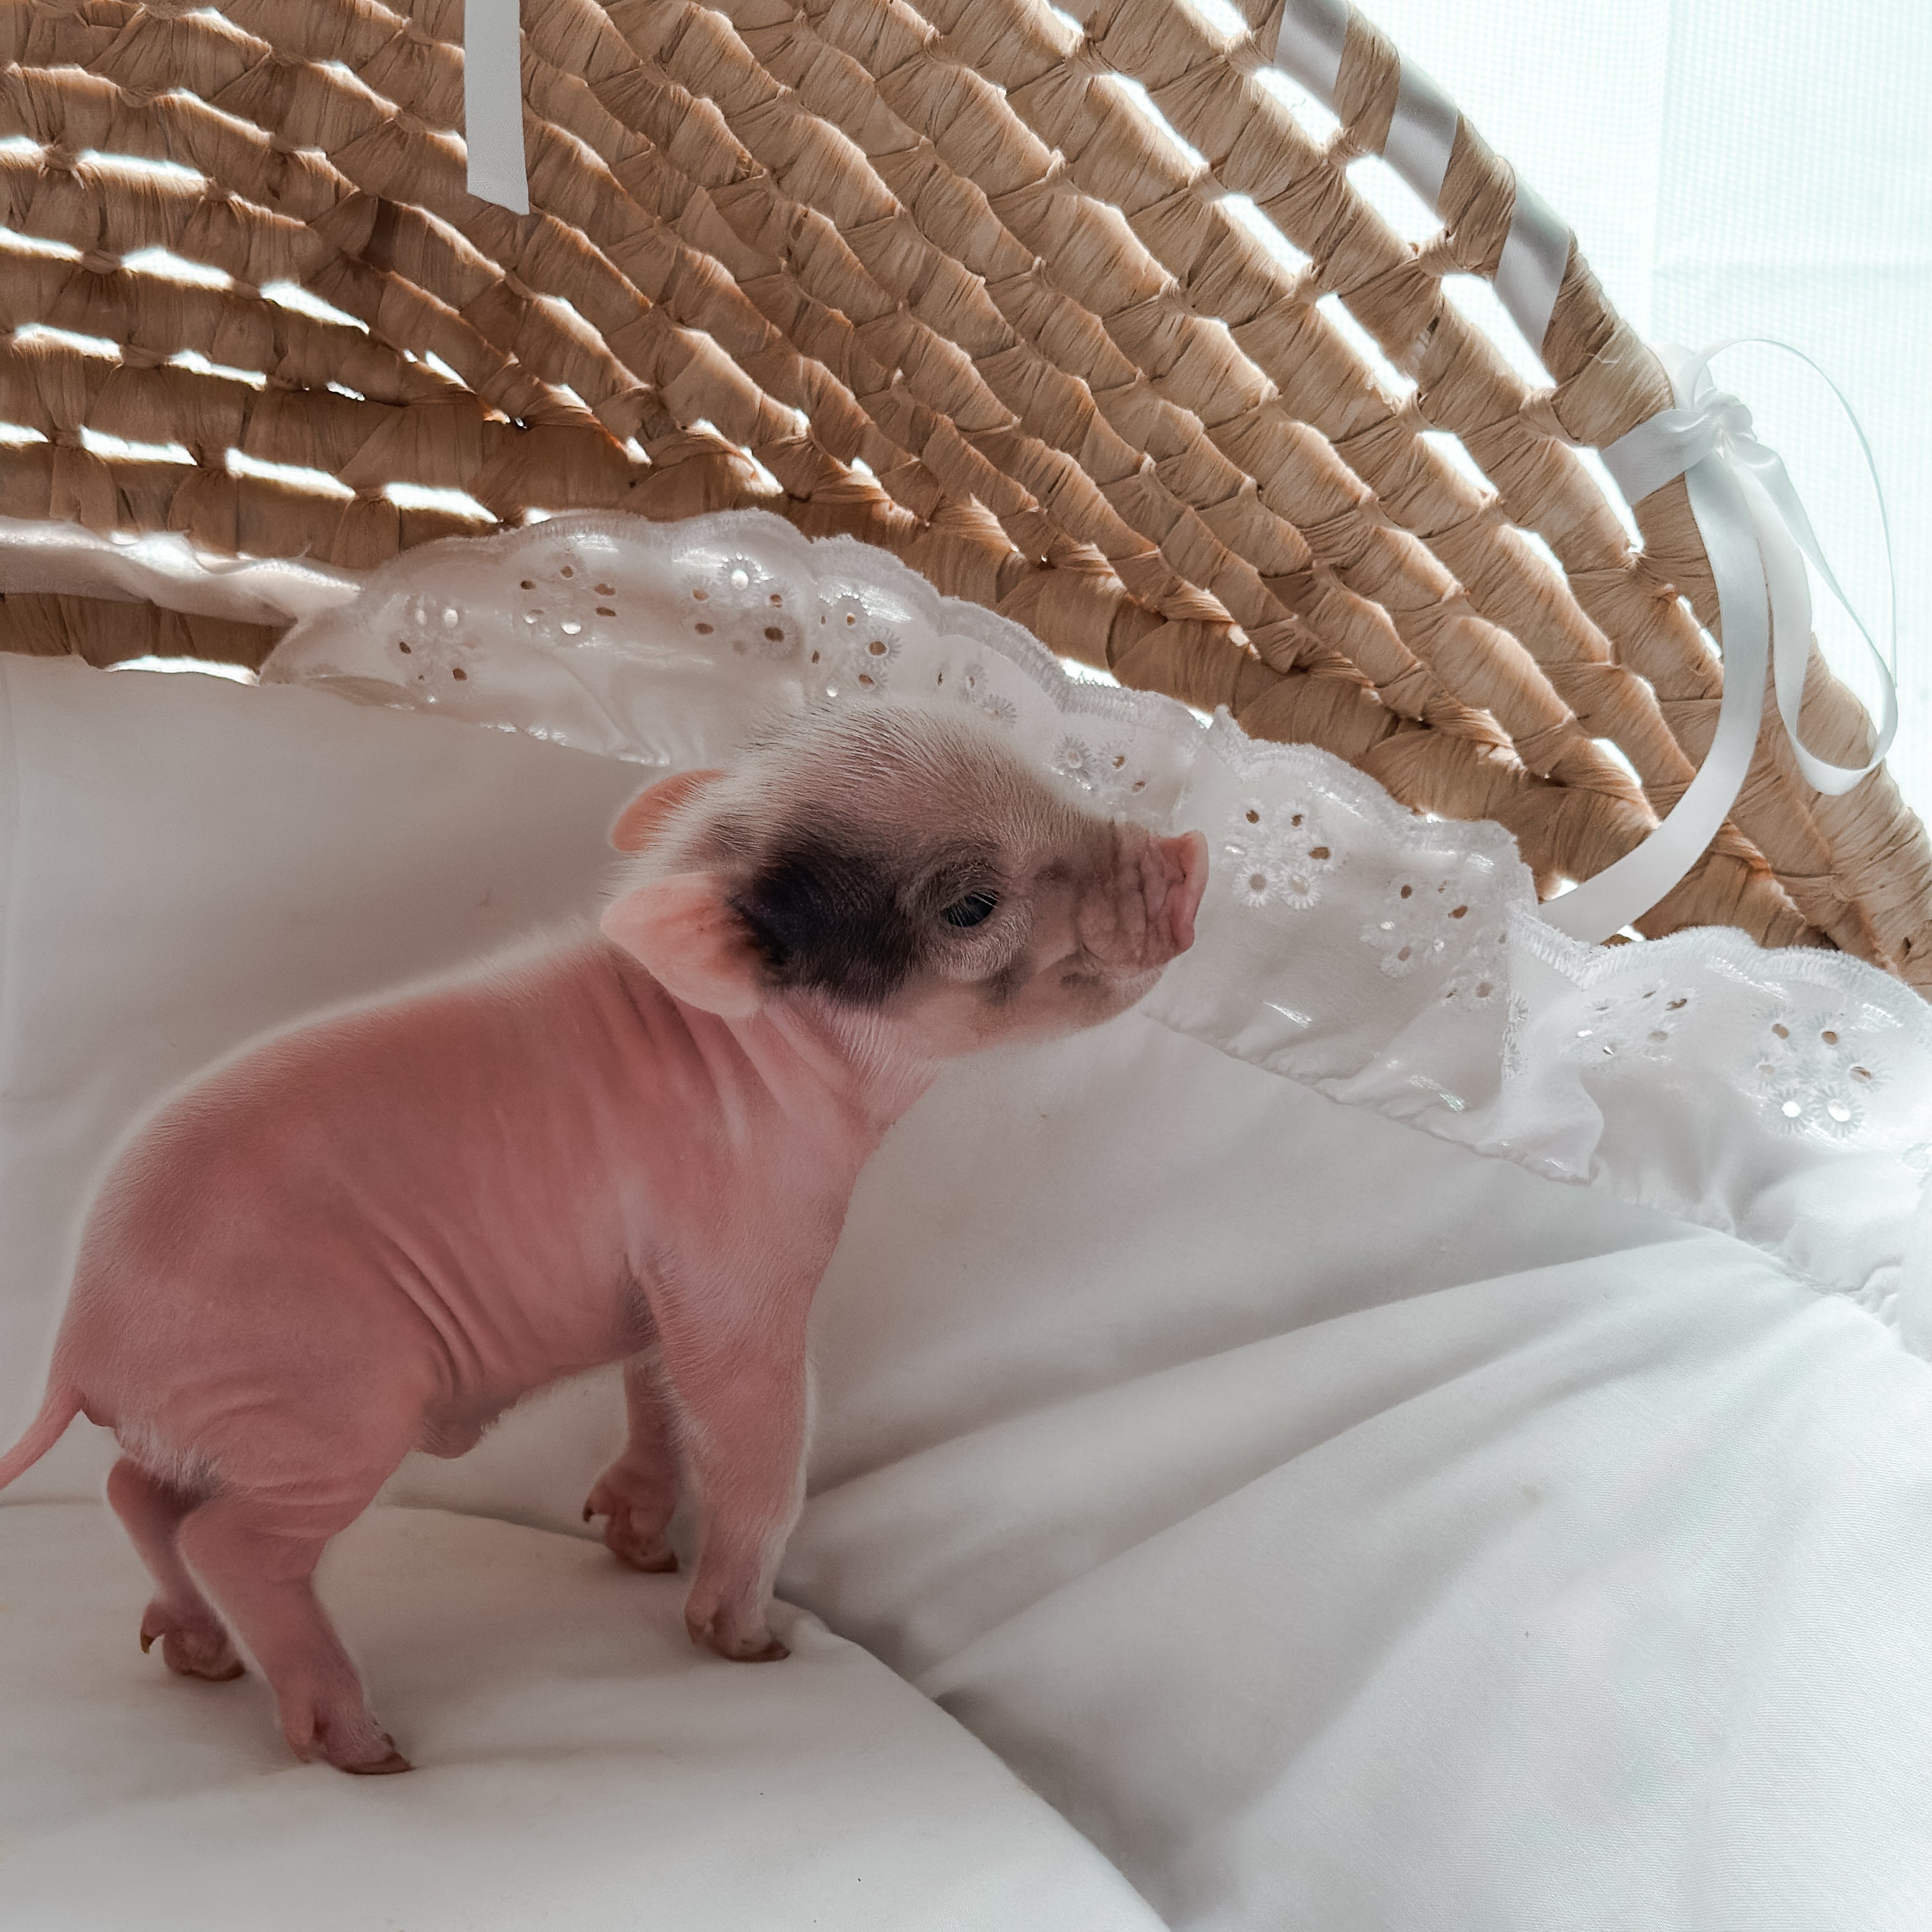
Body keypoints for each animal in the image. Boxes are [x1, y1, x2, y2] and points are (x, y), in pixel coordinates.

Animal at [0, 698, 1207, 1774]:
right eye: (969, 904)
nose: (1190, 855)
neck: (767, 1055)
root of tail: (78, 1344)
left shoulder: (656, 1286)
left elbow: (657, 1394)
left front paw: (632, 1545)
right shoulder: (737, 1265)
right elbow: (754, 1436)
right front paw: (745, 1641)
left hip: (223, 1425)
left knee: (135, 1495)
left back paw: (195, 1656)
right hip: (328, 1407)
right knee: (231, 1541)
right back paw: (366, 1748)